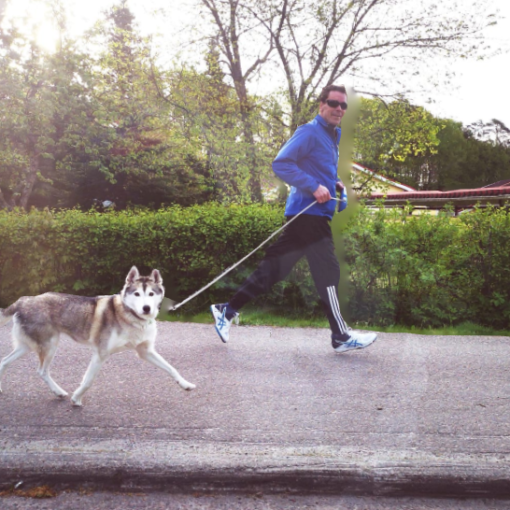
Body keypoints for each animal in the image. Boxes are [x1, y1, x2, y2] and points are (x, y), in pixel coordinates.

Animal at [0, 266, 195, 406]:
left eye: (151, 294)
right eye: (137, 294)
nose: (146, 308)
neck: (130, 317)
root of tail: (24, 299)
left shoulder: (145, 351)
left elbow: (171, 368)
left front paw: (185, 384)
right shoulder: (100, 354)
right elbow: (88, 381)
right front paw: (76, 399)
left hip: (28, 346)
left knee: (4, 362)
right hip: (49, 345)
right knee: (41, 371)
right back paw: (59, 391)